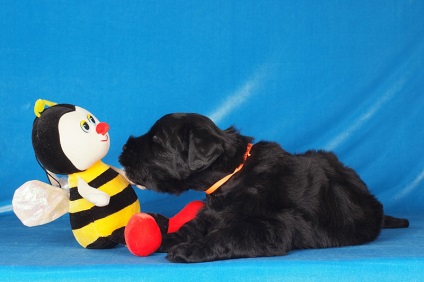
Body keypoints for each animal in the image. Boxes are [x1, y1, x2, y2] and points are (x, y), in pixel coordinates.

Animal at [118, 112, 408, 262]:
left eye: (157, 140)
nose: (123, 149)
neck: (234, 174)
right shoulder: (211, 213)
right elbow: (192, 225)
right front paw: (165, 238)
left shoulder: (269, 229)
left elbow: (226, 235)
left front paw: (189, 250)